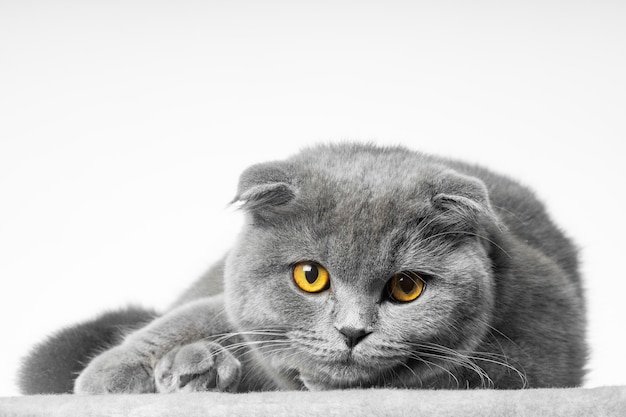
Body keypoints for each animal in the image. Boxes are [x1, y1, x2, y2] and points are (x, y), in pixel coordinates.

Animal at [19, 144, 584, 394]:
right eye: (310, 276)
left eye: (406, 287)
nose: (352, 332)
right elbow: (208, 314)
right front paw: (113, 374)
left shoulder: (539, 351)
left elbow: (441, 375)